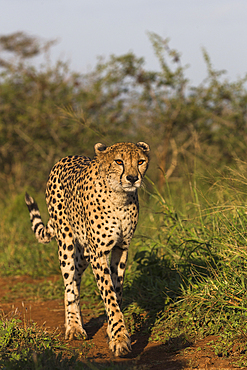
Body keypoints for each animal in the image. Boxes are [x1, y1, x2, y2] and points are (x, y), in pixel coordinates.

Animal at [25, 141, 150, 356]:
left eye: (140, 161)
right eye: (119, 161)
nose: (133, 178)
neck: (119, 197)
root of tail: (65, 157)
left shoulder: (121, 248)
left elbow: (117, 291)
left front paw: (112, 332)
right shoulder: (98, 253)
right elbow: (109, 295)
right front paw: (120, 338)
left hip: (83, 254)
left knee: (75, 280)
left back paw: (74, 322)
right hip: (66, 242)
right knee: (69, 283)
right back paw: (74, 327)